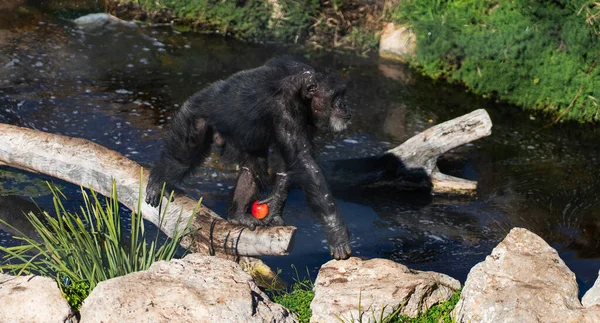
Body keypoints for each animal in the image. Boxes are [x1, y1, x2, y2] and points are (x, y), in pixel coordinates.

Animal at [145, 56, 352, 260]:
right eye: (336, 97)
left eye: (343, 95)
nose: (345, 106)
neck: (301, 93)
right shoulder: (285, 111)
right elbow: (304, 163)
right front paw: (337, 232)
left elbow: (288, 163)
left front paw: (275, 205)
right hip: (193, 117)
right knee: (182, 158)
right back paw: (158, 181)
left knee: (252, 168)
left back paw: (238, 216)